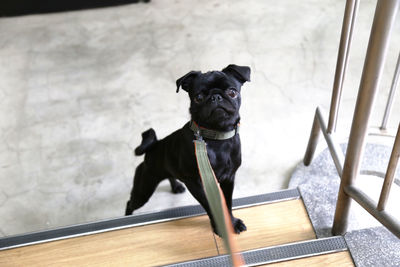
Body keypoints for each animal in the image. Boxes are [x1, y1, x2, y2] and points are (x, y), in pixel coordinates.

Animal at [125, 64, 250, 234]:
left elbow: (227, 204)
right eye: (198, 97)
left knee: (170, 175)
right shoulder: (196, 183)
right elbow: (210, 206)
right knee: (130, 203)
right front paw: (220, 226)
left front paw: (232, 222)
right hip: (144, 188)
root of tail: (154, 145)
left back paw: (176, 186)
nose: (216, 97)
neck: (216, 138)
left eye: (232, 92)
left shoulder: (228, 179)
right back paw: (127, 218)